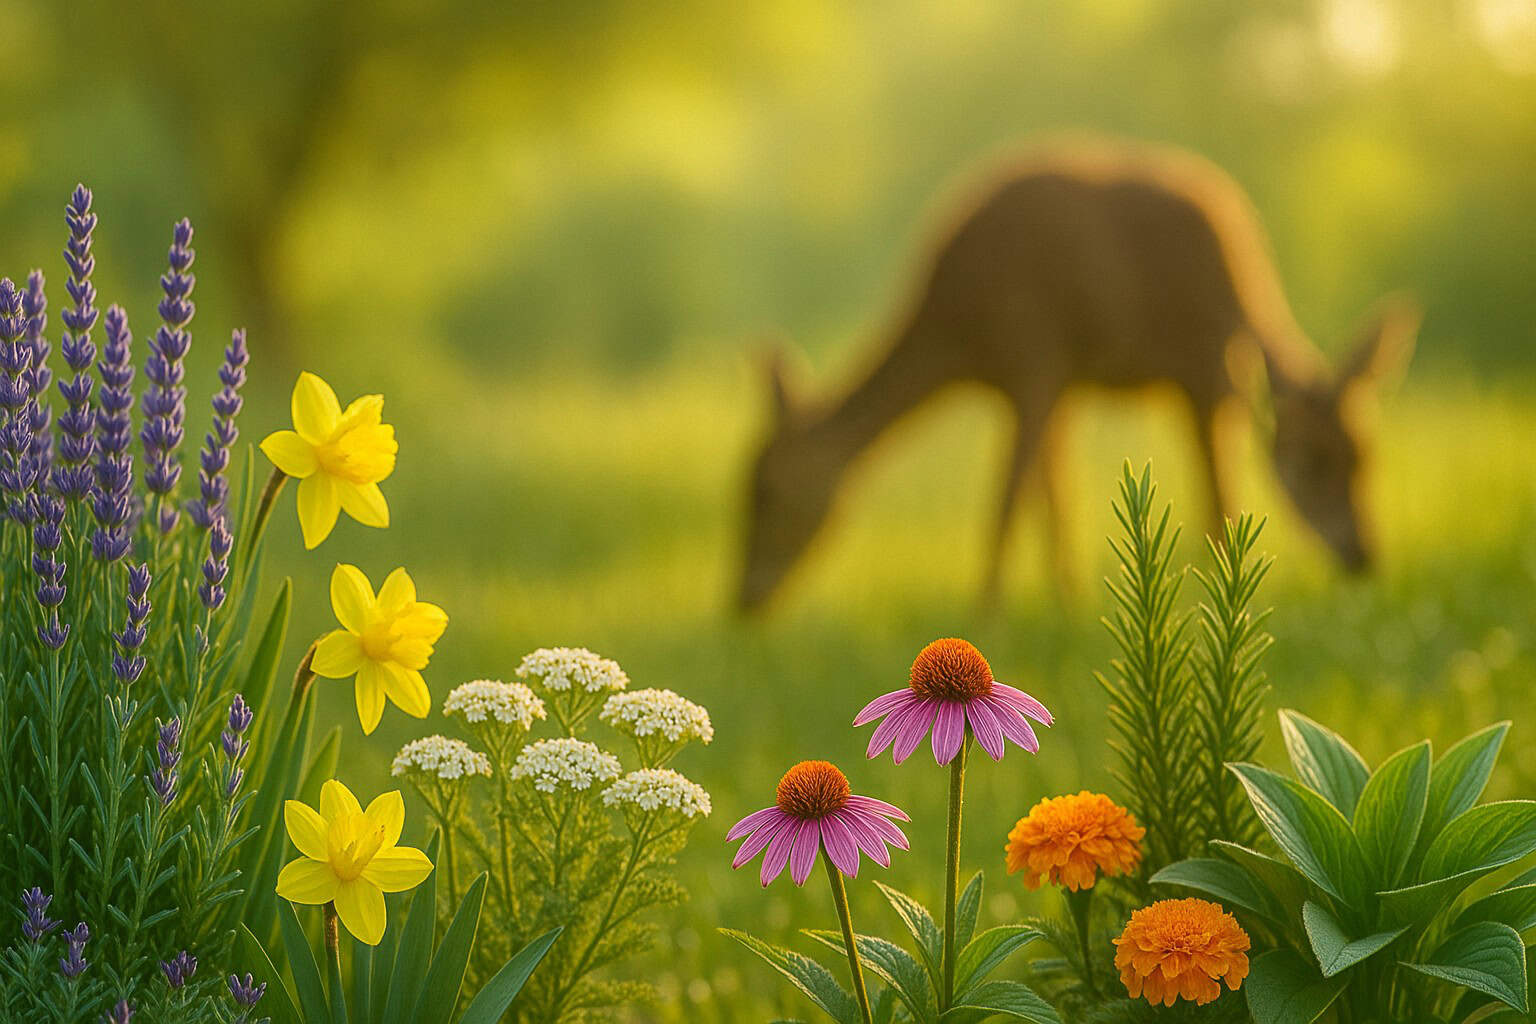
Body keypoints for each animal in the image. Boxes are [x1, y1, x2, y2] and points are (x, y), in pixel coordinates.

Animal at [738, 140, 1419, 612]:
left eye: (767, 491)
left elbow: (1010, 500)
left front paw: (987, 616)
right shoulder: (1051, 385)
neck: (957, 335)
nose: (741, 600)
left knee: (1217, 493)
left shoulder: (1036, 360)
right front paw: (1065, 606)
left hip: (1200, 369)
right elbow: (1054, 498)